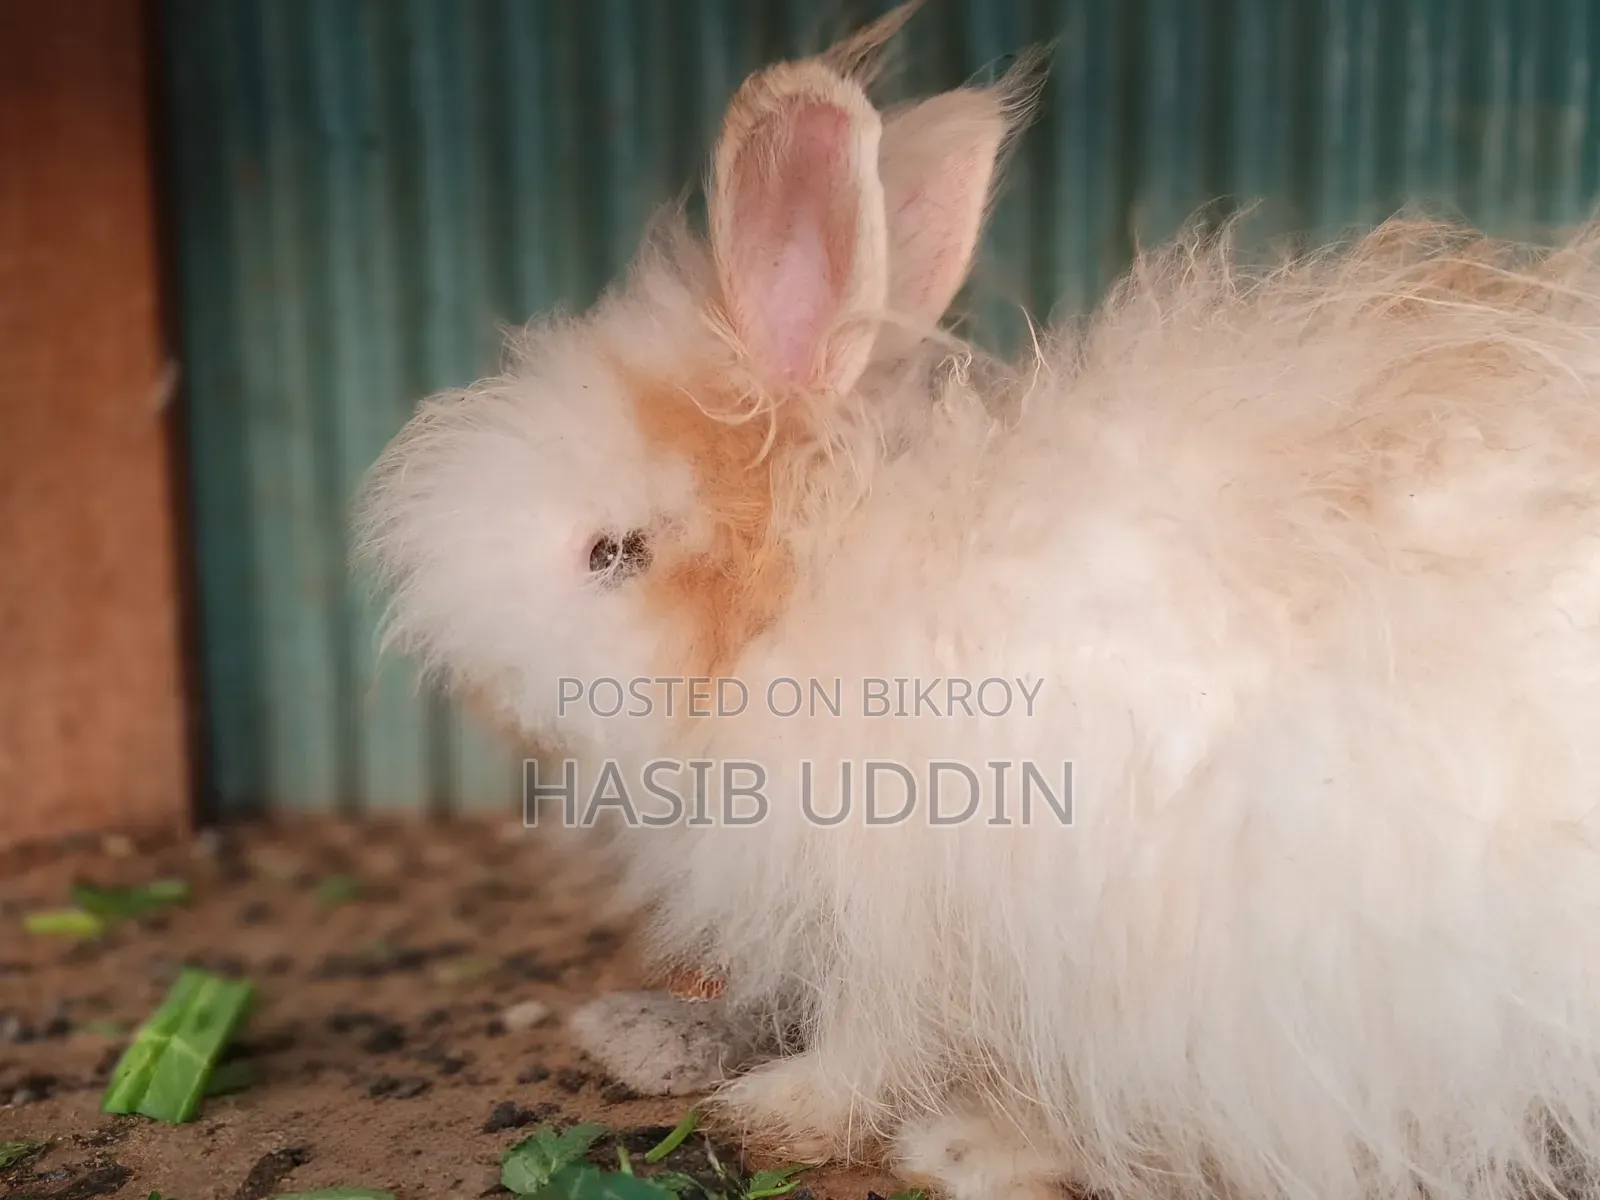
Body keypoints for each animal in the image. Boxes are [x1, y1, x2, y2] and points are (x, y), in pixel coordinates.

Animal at [353, 4, 1600, 1199]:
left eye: (613, 552)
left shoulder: (905, 917)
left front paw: (785, 1114)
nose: (480, 691)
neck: (802, 598)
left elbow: (874, 1041)